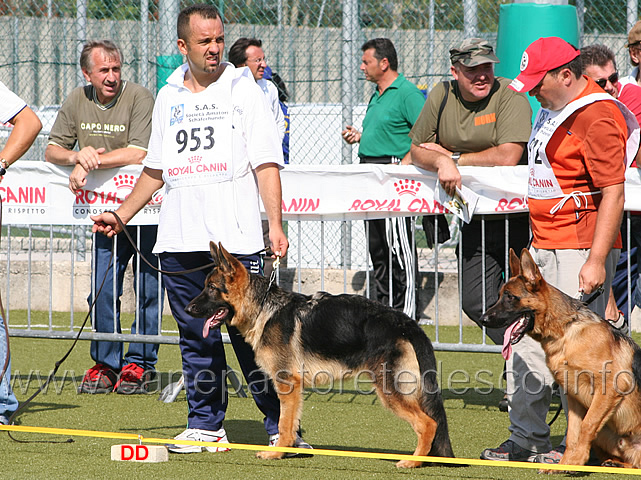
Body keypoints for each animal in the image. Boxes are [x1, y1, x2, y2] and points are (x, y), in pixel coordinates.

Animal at [185, 242, 452, 466]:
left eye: (211, 288)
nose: (187, 309)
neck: (263, 308)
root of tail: (405, 322)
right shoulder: (293, 389)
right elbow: (290, 424)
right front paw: (287, 450)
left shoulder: (287, 384)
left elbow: (283, 424)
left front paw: (275, 454)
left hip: (390, 391)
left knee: (429, 423)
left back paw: (412, 462)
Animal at [482, 248, 640, 468]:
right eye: (499, 296)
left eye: (510, 297)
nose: (483, 319)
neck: (565, 331)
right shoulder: (573, 395)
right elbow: (574, 433)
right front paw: (566, 463)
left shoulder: (610, 388)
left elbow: (587, 425)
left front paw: (574, 462)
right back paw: (613, 463)